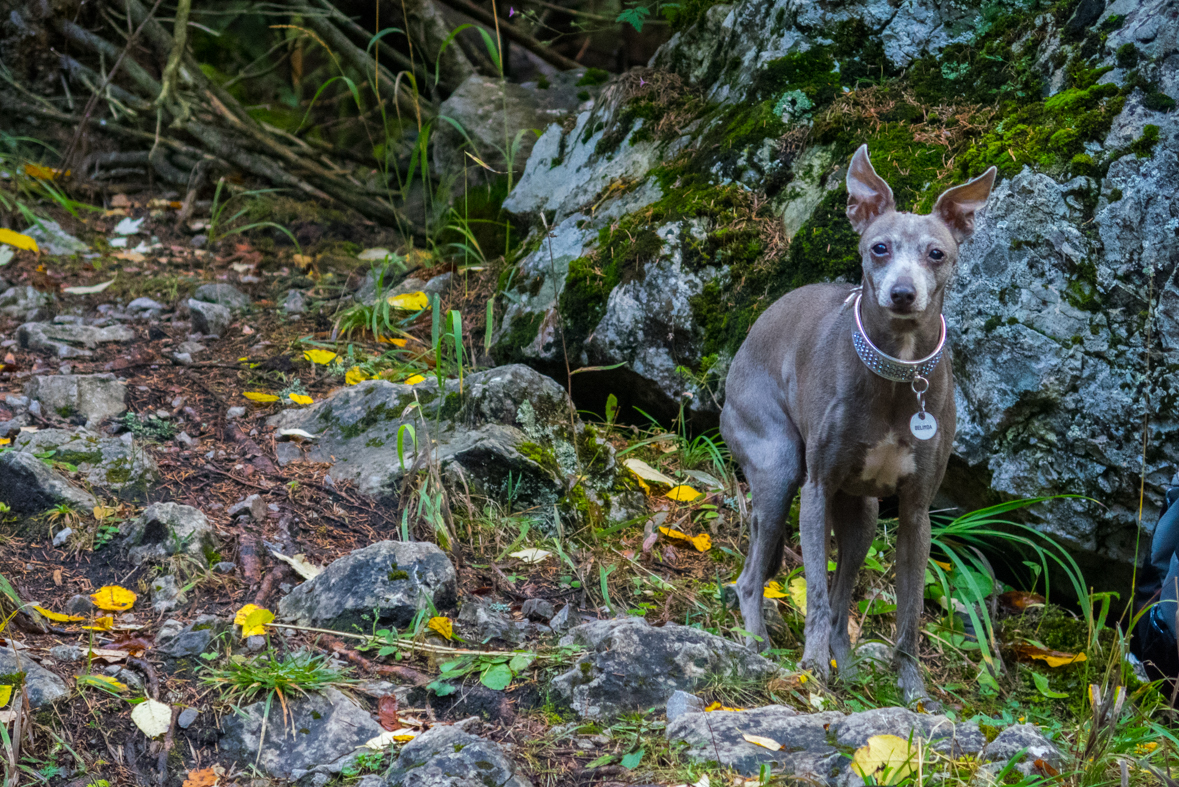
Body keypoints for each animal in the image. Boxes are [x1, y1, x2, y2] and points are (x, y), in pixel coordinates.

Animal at [716, 144, 995, 702]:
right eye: (879, 248)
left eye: (937, 253)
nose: (903, 293)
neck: (899, 374)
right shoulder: (817, 488)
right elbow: (818, 596)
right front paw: (810, 666)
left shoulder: (916, 513)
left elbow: (908, 615)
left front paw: (913, 692)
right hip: (779, 469)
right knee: (753, 577)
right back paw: (759, 645)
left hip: (862, 513)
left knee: (844, 597)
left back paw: (844, 668)